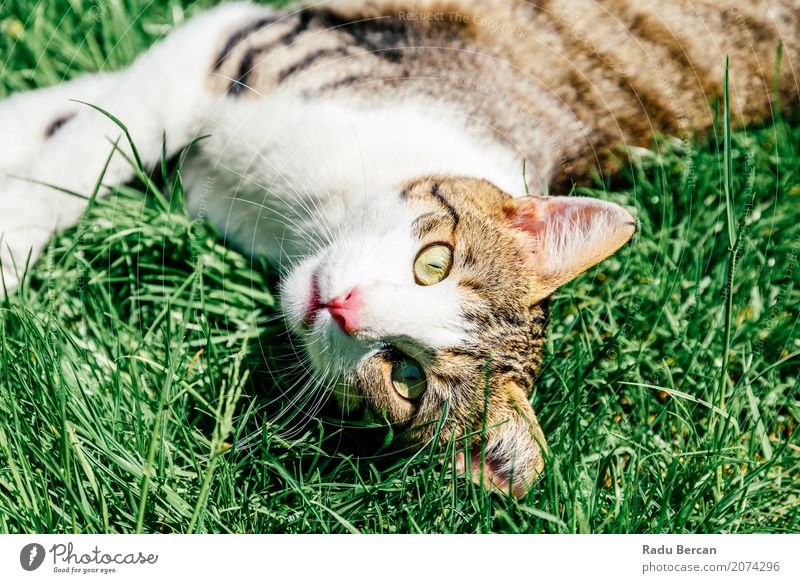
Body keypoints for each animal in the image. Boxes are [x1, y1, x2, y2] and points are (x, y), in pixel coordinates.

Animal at [0, 0, 796, 500]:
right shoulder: (249, 43)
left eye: (405, 377)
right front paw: (17, 202)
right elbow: (88, 141)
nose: (343, 307)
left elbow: (88, 139)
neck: (297, 223)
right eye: (433, 261)